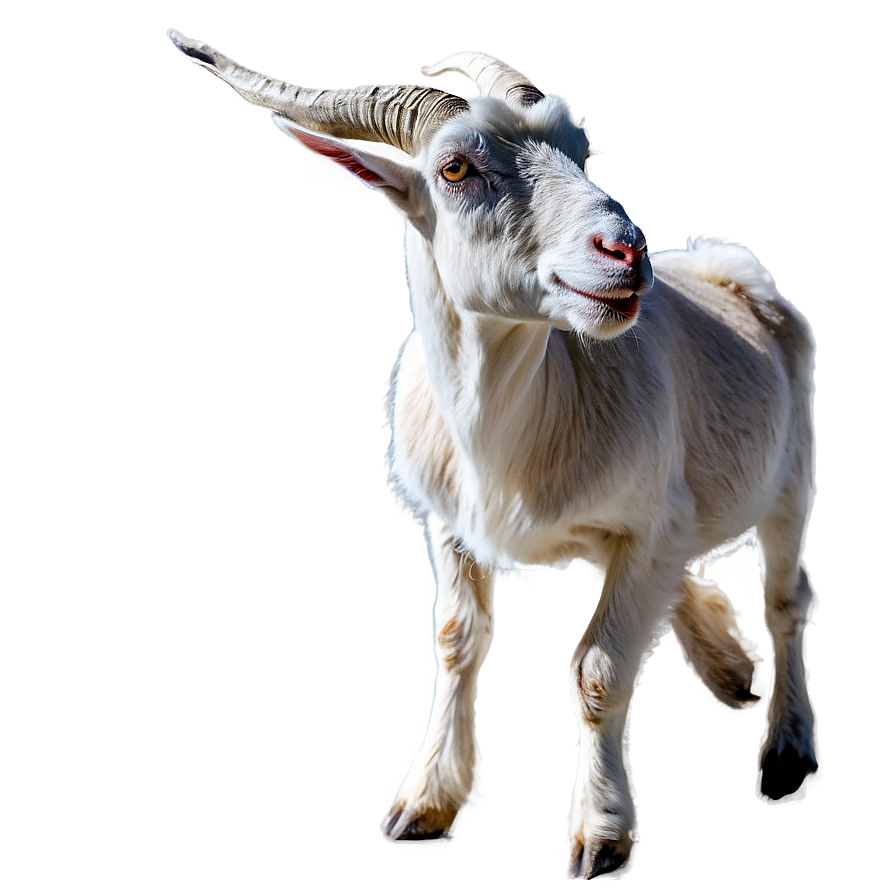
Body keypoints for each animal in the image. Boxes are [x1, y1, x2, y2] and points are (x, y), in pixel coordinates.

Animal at [169, 33, 820, 879]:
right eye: (454, 169)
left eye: (582, 150)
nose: (626, 251)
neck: (507, 441)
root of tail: (722, 266)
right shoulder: (450, 523)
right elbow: (456, 642)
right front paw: (424, 802)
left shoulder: (645, 526)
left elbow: (600, 673)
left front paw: (601, 834)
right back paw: (728, 666)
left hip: (792, 474)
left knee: (786, 600)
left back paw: (786, 748)